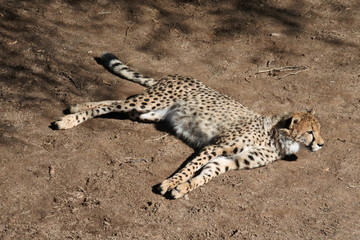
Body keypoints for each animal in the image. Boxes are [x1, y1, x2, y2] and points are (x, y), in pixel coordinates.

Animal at [52, 52, 324, 199]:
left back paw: (76, 108)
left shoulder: (229, 160)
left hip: (150, 113)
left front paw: (183, 189)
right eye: (310, 132)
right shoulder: (215, 147)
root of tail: (177, 75)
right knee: (114, 104)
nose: (322, 144)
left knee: (119, 105)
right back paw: (70, 118)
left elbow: (207, 174)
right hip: (152, 100)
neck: (277, 137)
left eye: (319, 130)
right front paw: (170, 183)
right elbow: (190, 167)